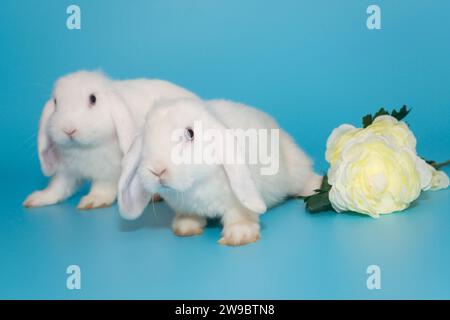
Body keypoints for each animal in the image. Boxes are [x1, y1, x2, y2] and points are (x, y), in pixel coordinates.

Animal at [23, 70, 197, 210]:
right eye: (56, 102)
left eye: (93, 99)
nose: (68, 129)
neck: (84, 148)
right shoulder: (66, 171)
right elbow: (58, 187)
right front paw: (37, 199)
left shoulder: (109, 172)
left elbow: (102, 186)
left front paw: (92, 200)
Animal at [116, 99, 320, 246]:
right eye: (145, 138)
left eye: (190, 133)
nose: (156, 170)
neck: (197, 184)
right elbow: (189, 217)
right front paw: (185, 227)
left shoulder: (238, 203)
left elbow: (240, 215)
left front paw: (240, 235)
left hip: (294, 170)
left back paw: (313, 186)